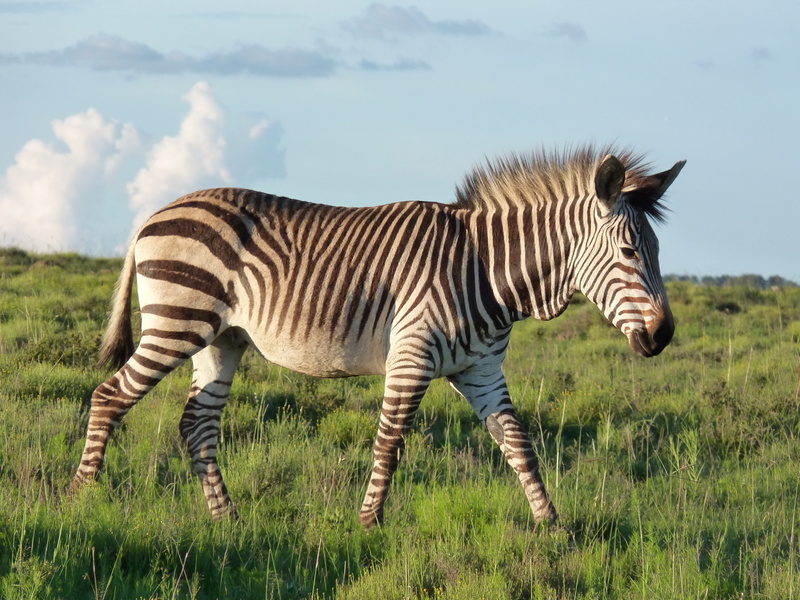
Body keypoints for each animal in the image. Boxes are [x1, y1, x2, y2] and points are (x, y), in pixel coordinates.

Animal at [69, 145, 684, 529]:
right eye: (630, 252)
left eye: (658, 252)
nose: (663, 336)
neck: (485, 269)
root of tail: (156, 213)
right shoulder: (412, 353)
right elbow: (390, 440)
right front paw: (369, 522)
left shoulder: (481, 369)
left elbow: (518, 443)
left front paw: (551, 524)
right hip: (178, 321)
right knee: (109, 397)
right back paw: (81, 499)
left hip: (222, 339)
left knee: (197, 423)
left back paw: (227, 518)